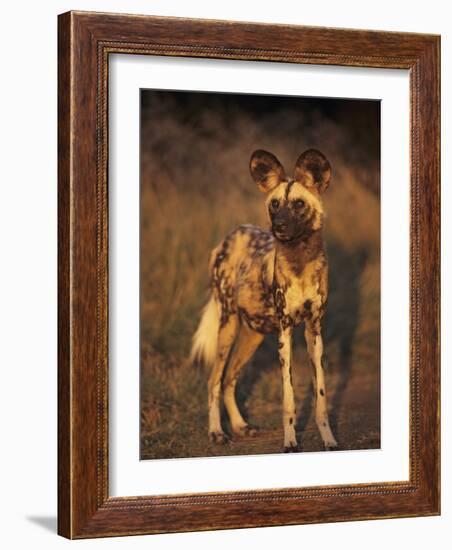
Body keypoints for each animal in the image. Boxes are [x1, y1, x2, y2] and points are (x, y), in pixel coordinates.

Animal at [192, 150, 340, 452]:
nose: (278, 226)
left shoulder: (314, 332)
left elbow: (320, 397)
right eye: (274, 204)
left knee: (229, 379)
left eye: (298, 204)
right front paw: (291, 441)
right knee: (214, 381)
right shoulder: (285, 332)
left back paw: (240, 426)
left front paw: (329, 439)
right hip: (228, 327)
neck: (300, 260)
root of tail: (228, 238)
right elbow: (289, 399)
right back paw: (217, 432)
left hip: (253, 335)